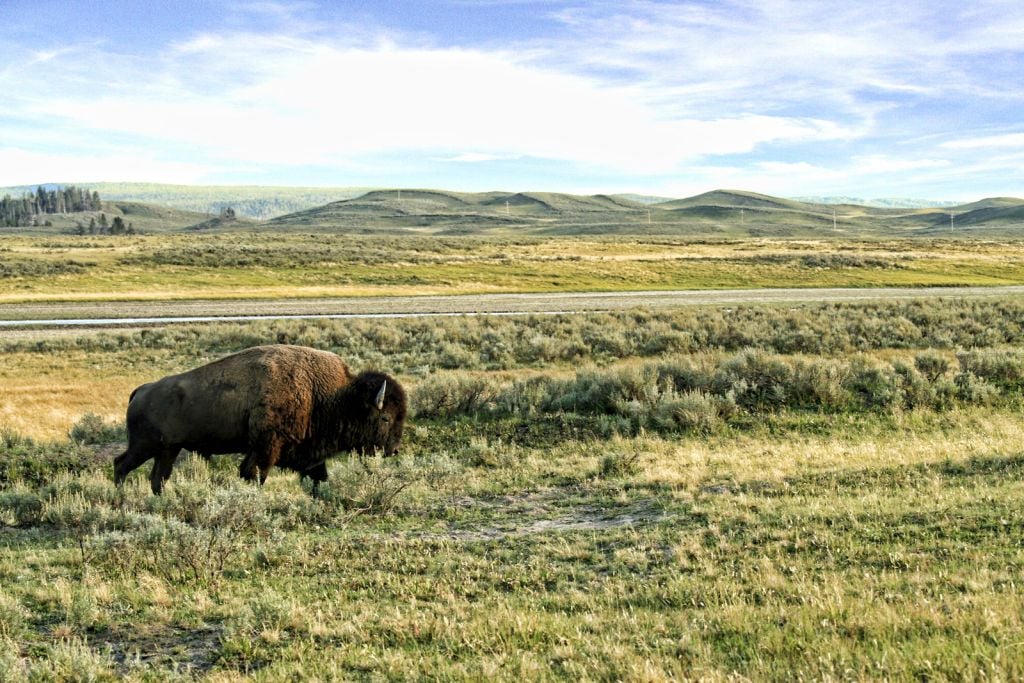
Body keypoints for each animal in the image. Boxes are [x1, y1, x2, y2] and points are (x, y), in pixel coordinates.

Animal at [113, 344, 407, 493]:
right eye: (385, 418)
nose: (394, 450)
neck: (331, 395)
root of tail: (141, 390)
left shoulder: (309, 455)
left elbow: (319, 478)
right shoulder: (266, 446)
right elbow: (255, 474)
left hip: (168, 450)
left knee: (158, 477)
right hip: (145, 446)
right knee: (121, 465)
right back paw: (120, 501)